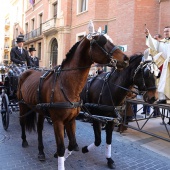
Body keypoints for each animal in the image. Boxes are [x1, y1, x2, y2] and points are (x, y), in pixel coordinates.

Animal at [17, 32, 129, 169]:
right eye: (102, 41)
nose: (126, 59)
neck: (66, 85)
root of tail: (26, 71)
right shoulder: (58, 121)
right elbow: (61, 147)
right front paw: (60, 159)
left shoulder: (71, 120)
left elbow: (72, 144)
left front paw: (62, 156)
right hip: (22, 105)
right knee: (22, 122)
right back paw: (24, 140)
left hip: (40, 109)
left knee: (39, 128)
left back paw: (41, 151)